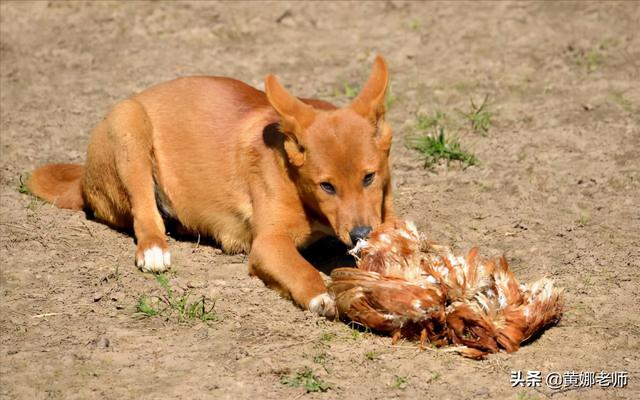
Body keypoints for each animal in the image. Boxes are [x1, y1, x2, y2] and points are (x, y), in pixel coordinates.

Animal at [27, 55, 396, 316]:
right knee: (144, 212)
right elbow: (299, 269)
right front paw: (323, 295)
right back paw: (154, 249)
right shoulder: (269, 243)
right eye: (326, 186)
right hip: (129, 125)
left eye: (369, 177)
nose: (361, 235)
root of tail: (83, 178)